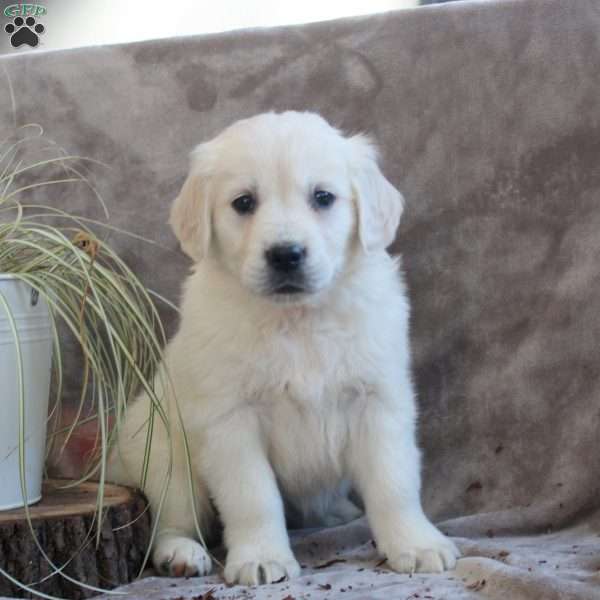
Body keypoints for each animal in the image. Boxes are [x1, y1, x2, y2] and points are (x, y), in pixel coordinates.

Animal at [108, 110, 458, 584]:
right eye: (243, 203)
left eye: (323, 197)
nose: (286, 254)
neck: (296, 319)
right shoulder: (231, 419)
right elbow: (254, 497)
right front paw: (261, 557)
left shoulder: (378, 401)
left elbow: (394, 483)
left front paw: (416, 543)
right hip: (161, 454)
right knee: (171, 520)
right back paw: (181, 554)